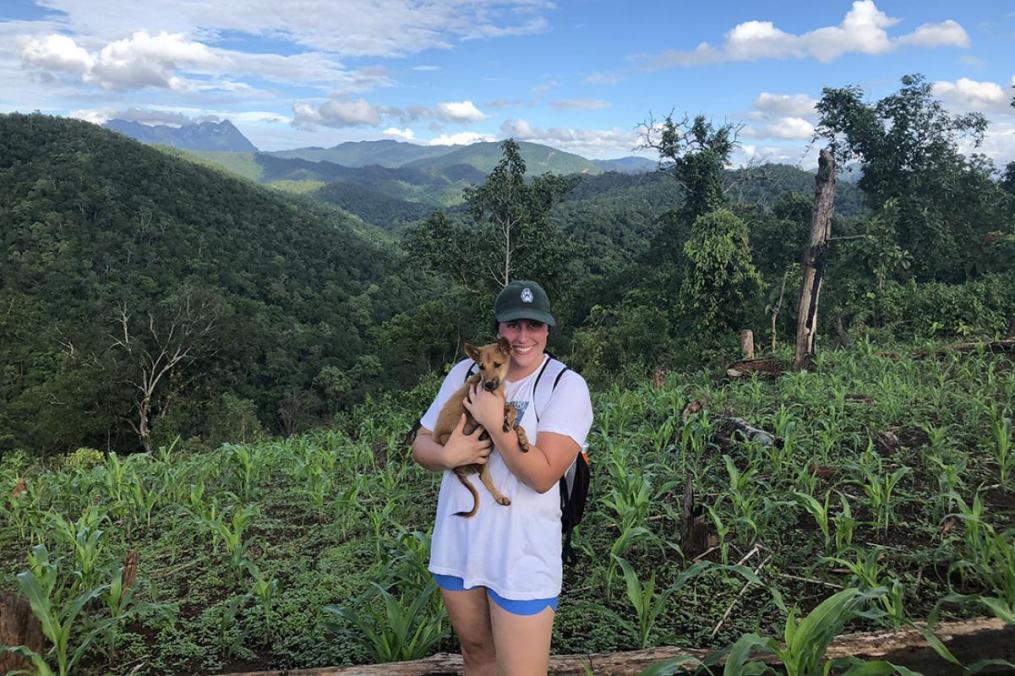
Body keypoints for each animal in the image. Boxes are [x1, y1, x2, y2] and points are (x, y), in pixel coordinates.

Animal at [430, 336, 531, 515]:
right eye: (481, 366)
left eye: (497, 364)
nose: (488, 385)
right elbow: (511, 409)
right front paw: (511, 423)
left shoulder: (498, 409)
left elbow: (515, 419)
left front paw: (522, 439)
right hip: (459, 442)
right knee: (483, 476)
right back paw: (500, 497)